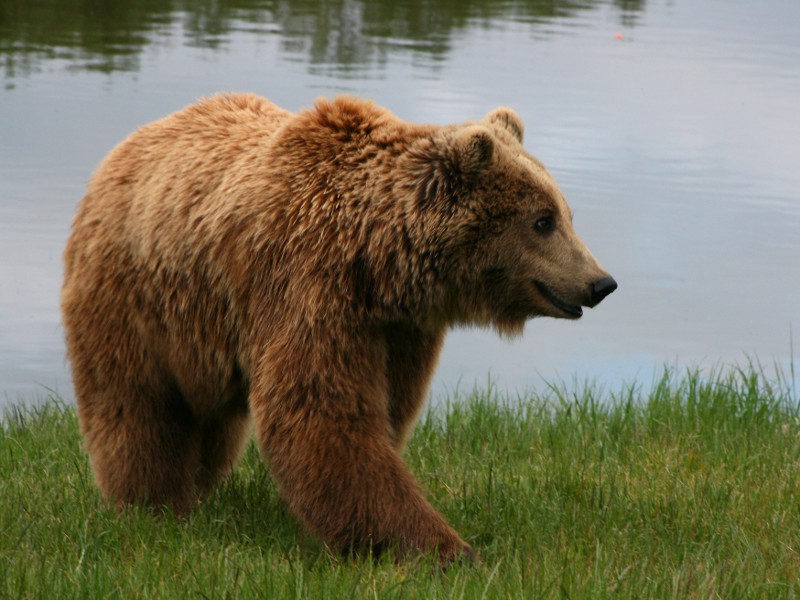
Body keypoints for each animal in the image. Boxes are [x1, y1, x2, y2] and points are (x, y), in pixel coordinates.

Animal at [61, 93, 616, 565]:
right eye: (543, 220)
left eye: (565, 213)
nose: (600, 282)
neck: (377, 261)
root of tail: (123, 148)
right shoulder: (309, 286)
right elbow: (324, 413)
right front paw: (443, 548)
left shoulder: (398, 331)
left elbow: (386, 410)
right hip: (135, 298)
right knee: (137, 404)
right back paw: (151, 503)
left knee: (210, 422)